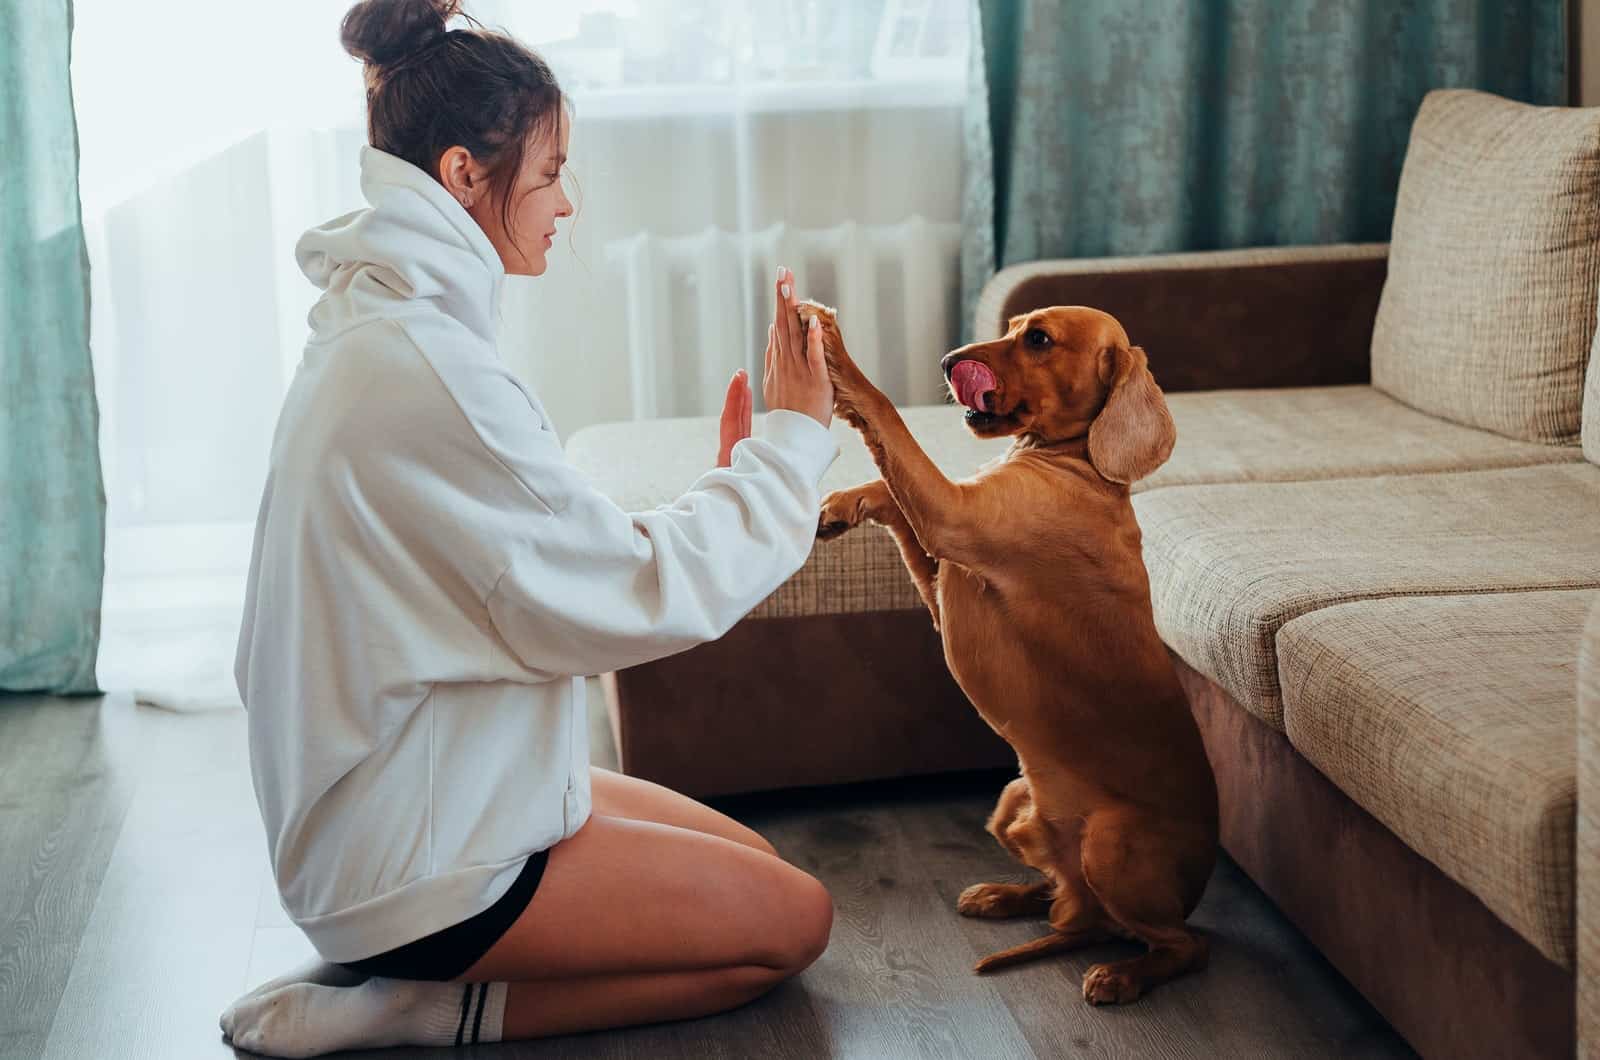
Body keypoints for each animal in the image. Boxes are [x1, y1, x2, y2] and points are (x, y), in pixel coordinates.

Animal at [806, 302, 1216, 1011]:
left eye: (1040, 339)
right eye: (1013, 324)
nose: (949, 362)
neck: (1076, 463)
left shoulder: (953, 517)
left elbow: (887, 418)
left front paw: (836, 355)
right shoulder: (944, 565)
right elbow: (891, 492)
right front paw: (841, 504)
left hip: (1110, 843)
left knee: (1178, 945)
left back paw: (1122, 975)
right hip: (1011, 801)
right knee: (1067, 900)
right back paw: (1004, 895)